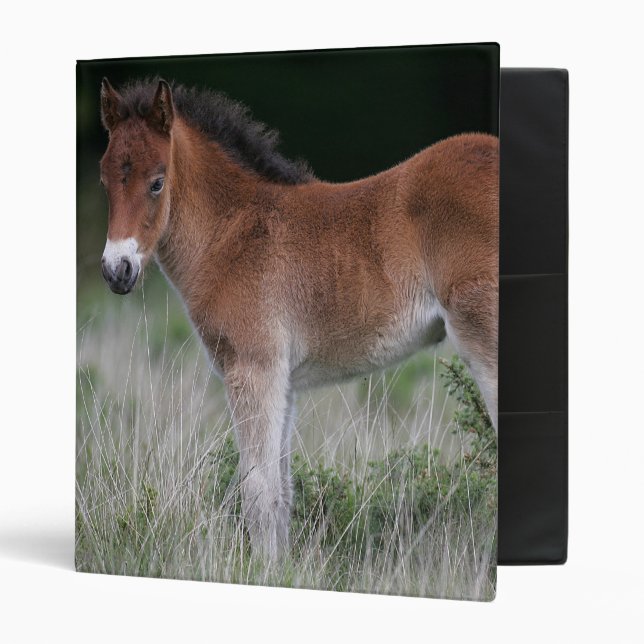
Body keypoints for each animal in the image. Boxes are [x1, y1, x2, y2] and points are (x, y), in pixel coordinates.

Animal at [97, 78, 498, 562]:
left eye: (157, 183)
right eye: (103, 179)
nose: (116, 270)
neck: (232, 233)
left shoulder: (254, 369)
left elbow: (257, 490)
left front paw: (264, 570)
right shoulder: (282, 380)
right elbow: (281, 491)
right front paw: (281, 569)